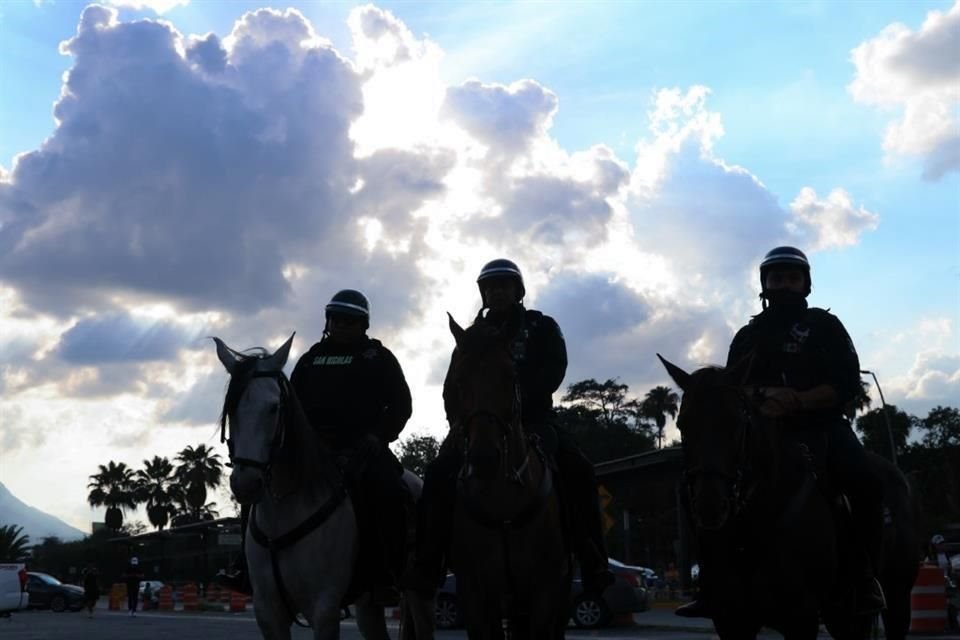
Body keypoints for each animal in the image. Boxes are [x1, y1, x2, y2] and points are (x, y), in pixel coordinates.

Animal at [215, 336, 436, 640]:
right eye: (231, 409)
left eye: (274, 407)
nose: (245, 483)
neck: (285, 512)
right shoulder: (269, 614)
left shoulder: (324, 611)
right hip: (368, 603)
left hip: (418, 591)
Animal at [444, 312, 568, 636]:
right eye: (457, 381)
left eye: (511, 377)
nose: (484, 458)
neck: (503, 505)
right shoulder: (474, 592)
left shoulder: (545, 590)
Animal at [656, 356, 920, 640]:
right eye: (682, 425)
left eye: (738, 422)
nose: (710, 505)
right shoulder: (731, 620)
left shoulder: (800, 616)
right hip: (842, 614)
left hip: (897, 598)